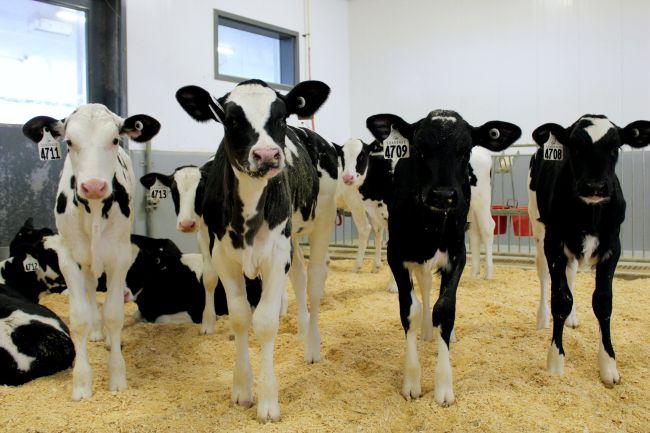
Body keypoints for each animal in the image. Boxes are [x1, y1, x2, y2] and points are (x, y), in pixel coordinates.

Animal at [23, 104, 160, 400]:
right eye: (69, 142)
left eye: (114, 140)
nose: (94, 186)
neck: (95, 210)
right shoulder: (69, 258)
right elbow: (79, 319)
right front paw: (82, 382)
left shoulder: (119, 256)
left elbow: (114, 313)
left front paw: (117, 376)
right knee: (88, 291)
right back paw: (97, 332)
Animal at [175, 79, 337, 422]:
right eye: (230, 119)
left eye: (281, 116)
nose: (266, 155)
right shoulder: (223, 257)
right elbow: (240, 316)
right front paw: (242, 388)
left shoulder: (275, 256)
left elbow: (264, 321)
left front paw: (268, 401)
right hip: (292, 236)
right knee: (300, 276)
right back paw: (302, 328)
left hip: (323, 220)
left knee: (315, 283)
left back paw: (312, 346)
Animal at [366, 110, 520, 406]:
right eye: (420, 148)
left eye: (464, 150)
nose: (443, 195)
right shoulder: (396, 256)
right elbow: (410, 309)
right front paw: (412, 380)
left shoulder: (456, 255)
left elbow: (445, 309)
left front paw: (443, 385)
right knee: (425, 287)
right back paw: (427, 331)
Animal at [528, 115, 650, 385]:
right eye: (574, 147)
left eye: (615, 148)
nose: (595, 186)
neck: (589, 215)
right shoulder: (554, 243)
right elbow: (560, 298)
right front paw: (555, 361)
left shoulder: (613, 247)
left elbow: (603, 301)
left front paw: (608, 364)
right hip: (537, 228)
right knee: (543, 276)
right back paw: (542, 318)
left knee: (571, 275)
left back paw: (572, 318)